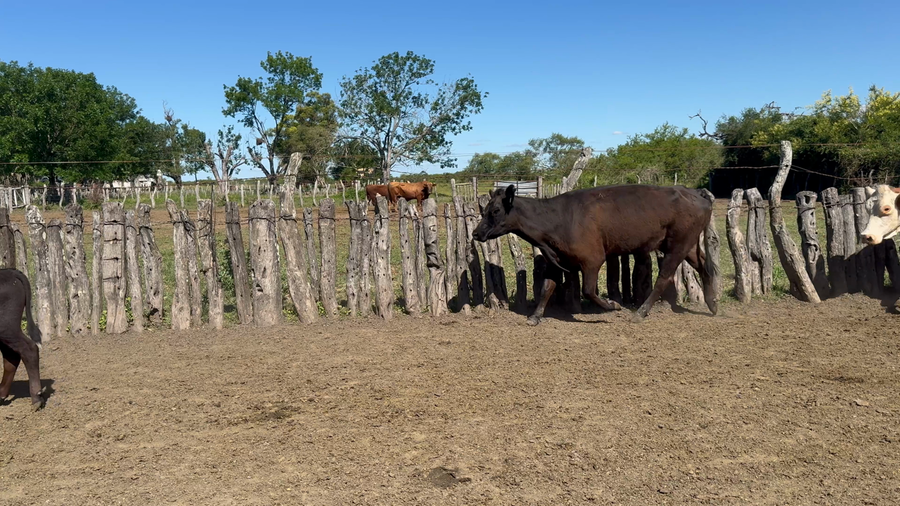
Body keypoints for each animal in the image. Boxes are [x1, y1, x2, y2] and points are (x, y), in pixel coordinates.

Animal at [472, 184, 718, 325]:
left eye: (495, 210)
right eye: (485, 210)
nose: (476, 233)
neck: (558, 218)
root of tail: (695, 192)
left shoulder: (593, 260)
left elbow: (588, 290)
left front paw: (612, 305)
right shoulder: (555, 261)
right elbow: (547, 287)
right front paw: (535, 316)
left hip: (677, 246)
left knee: (664, 277)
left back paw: (640, 313)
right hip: (687, 246)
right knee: (705, 267)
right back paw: (712, 303)